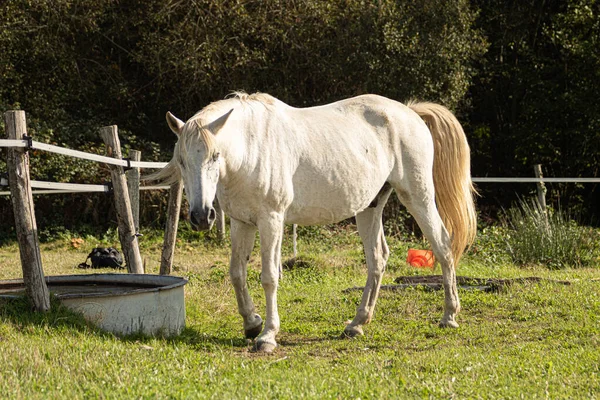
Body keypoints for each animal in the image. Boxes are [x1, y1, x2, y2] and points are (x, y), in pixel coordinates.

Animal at [151, 92, 478, 352]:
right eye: (182, 161)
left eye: (215, 156)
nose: (200, 216)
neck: (251, 149)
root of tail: (410, 112)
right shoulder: (241, 222)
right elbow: (236, 273)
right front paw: (251, 323)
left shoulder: (271, 220)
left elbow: (269, 277)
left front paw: (267, 336)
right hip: (369, 207)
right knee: (378, 258)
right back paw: (357, 324)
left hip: (418, 197)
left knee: (443, 246)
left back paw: (449, 316)